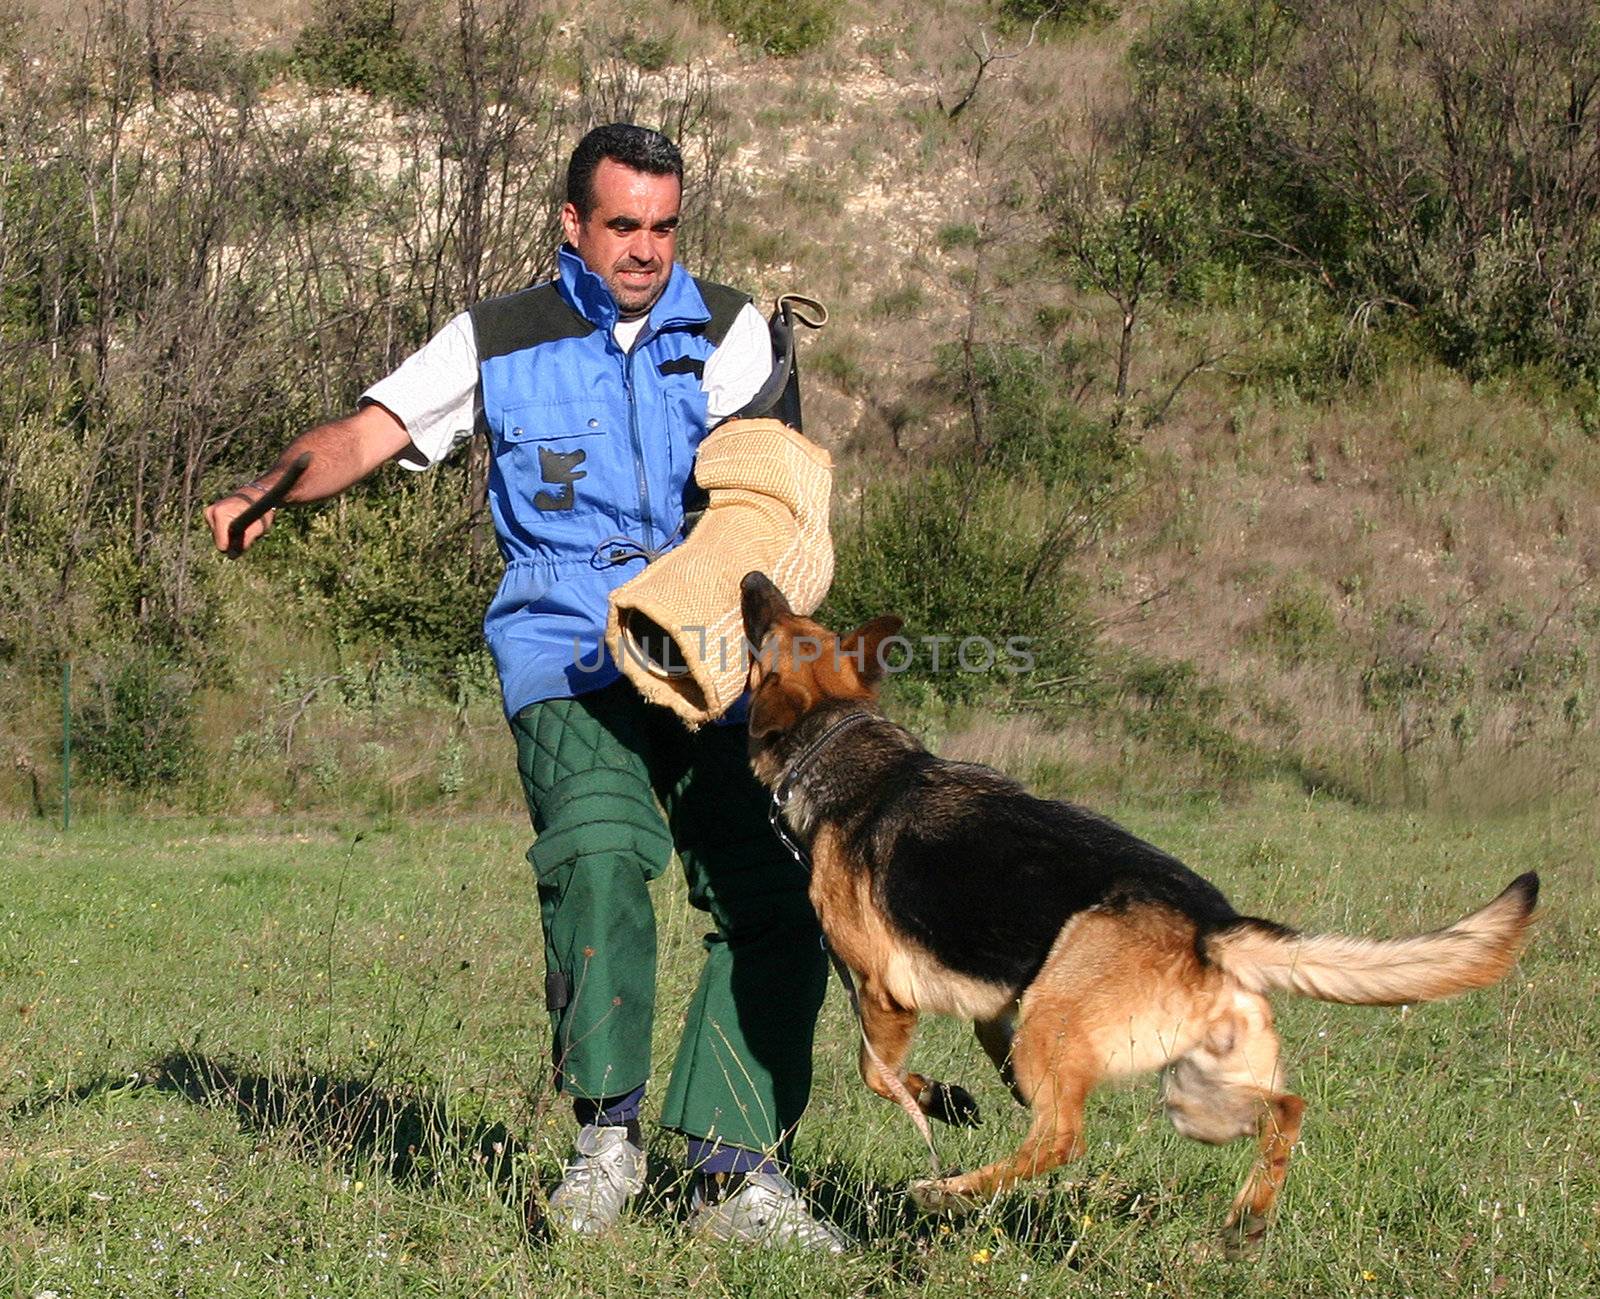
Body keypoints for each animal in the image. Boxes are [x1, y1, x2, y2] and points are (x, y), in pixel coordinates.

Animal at [736, 572, 1536, 1254]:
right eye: (790, 620)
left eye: (765, 628)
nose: (750, 578)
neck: (838, 742)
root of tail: (1213, 926)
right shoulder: (995, 1006)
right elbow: (980, 1057)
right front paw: (954, 1100)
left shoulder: (882, 994)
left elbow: (879, 1076)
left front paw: (934, 1102)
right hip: (1194, 1097)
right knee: (1287, 1107)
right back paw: (1247, 1219)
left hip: (1074, 1031)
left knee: (1062, 1138)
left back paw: (950, 1190)